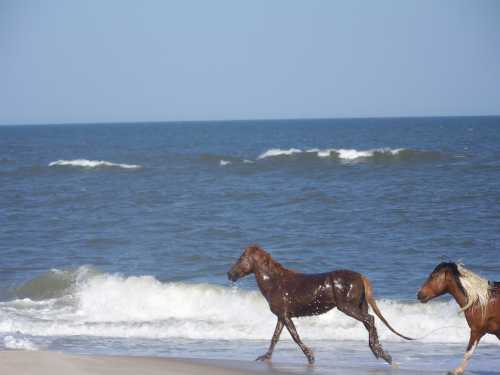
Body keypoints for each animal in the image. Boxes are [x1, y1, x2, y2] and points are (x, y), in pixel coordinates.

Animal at [229, 245, 412, 366]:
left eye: (240, 259)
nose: (229, 274)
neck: (275, 283)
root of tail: (360, 276)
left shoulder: (285, 315)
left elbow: (295, 336)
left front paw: (310, 357)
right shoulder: (282, 316)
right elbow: (275, 337)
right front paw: (265, 358)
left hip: (348, 307)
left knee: (370, 320)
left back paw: (378, 352)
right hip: (359, 306)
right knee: (370, 323)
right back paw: (384, 354)